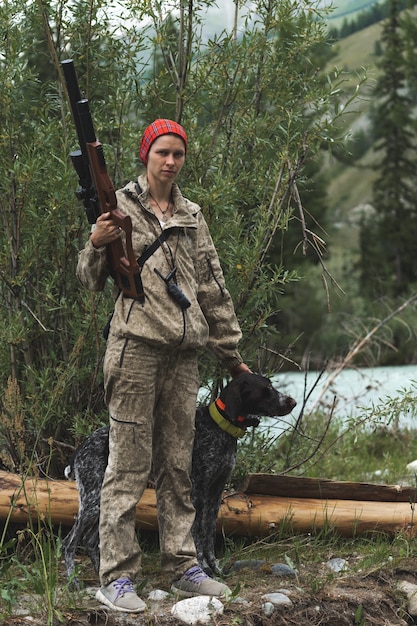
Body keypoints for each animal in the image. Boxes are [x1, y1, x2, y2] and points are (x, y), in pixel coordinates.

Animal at [62, 368, 296, 584]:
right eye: (266, 389)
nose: (292, 402)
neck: (220, 428)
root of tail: (81, 448)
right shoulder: (198, 492)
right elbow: (198, 536)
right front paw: (203, 568)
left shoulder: (215, 494)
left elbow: (209, 535)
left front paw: (216, 569)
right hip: (93, 501)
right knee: (69, 542)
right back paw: (73, 581)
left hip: (103, 499)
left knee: (90, 540)